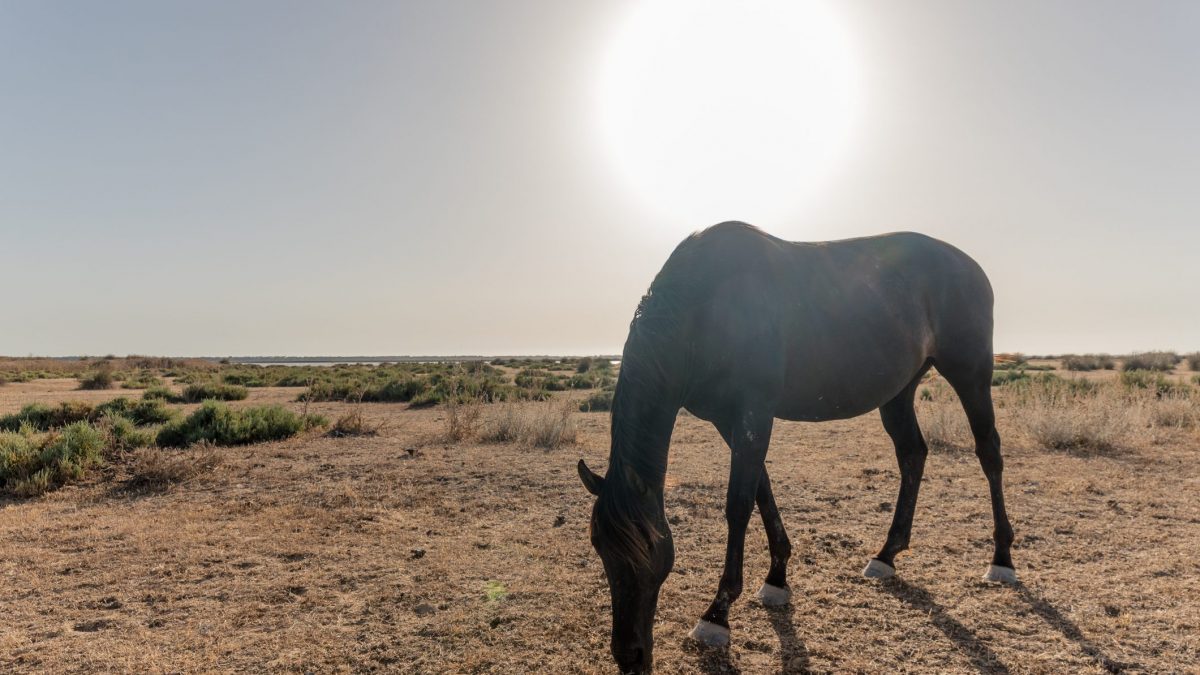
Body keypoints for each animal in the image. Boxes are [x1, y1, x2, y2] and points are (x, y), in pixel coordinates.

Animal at [577, 222, 1014, 674]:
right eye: (598, 545)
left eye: (648, 546)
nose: (630, 657)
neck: (706, 306)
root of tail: (970, 266)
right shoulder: (728, 420)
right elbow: (762, 491)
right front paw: (777, 577)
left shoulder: (754, 412)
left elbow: (738, 505)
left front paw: (717, 614)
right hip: (900, 391)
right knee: (913, 455)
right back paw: (887, 554)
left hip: (970, 375)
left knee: (989, 453)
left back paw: (1001, 558)